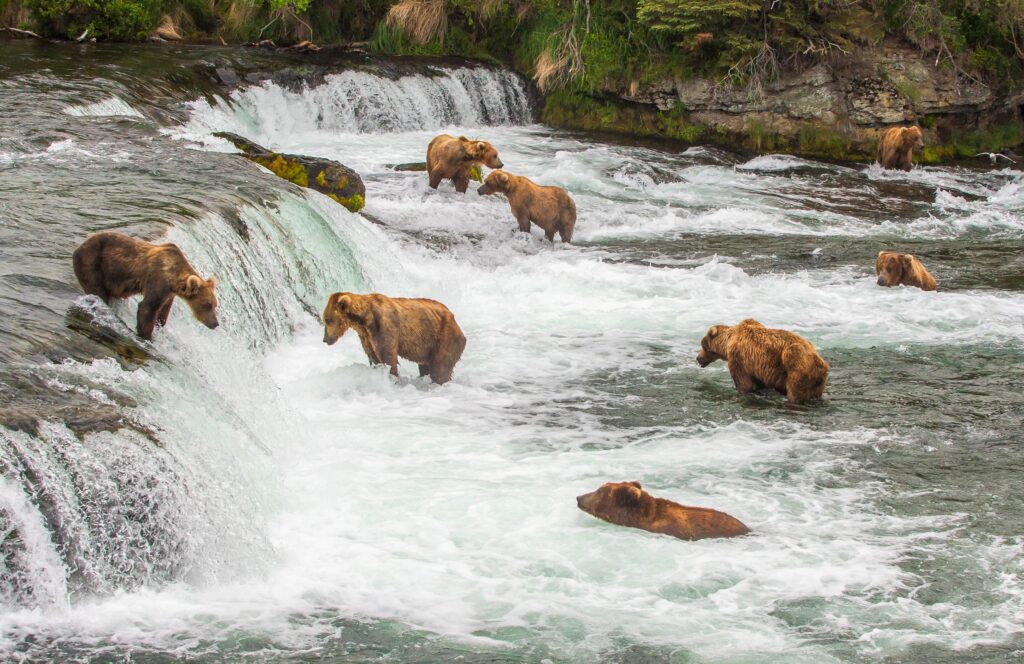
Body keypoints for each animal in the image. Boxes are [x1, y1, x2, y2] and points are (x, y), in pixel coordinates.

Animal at [74, 229, 222, 342]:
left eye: (215, 305)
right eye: (207, 305)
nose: (215, 323)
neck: (173, 278)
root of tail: (80, 246)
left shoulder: (169, 293)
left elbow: (163, 311)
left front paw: (160, 326)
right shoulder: (158, 280)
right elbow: (148, 308)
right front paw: (147, 337)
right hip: (93, 263)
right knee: (97, 290)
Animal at [321, 291, 466, 383]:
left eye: (327, 320)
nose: (325, 339)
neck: (364, 319)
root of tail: (455, 320)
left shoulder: (383, 327)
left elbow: (388, 357)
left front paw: (392, 377)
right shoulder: (366, 336)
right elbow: (374, 357)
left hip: (443, 338)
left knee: (440, 368)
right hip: (428, 346)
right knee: (425, 366)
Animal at [692, 317, 827, 403]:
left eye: (703, 346)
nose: (698, 358)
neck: (728, 342)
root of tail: (820, 363)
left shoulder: (738, 359)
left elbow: (743, 383)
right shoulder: (758, 369)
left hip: (795, 366)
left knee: (795, 392)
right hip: (817, 382)